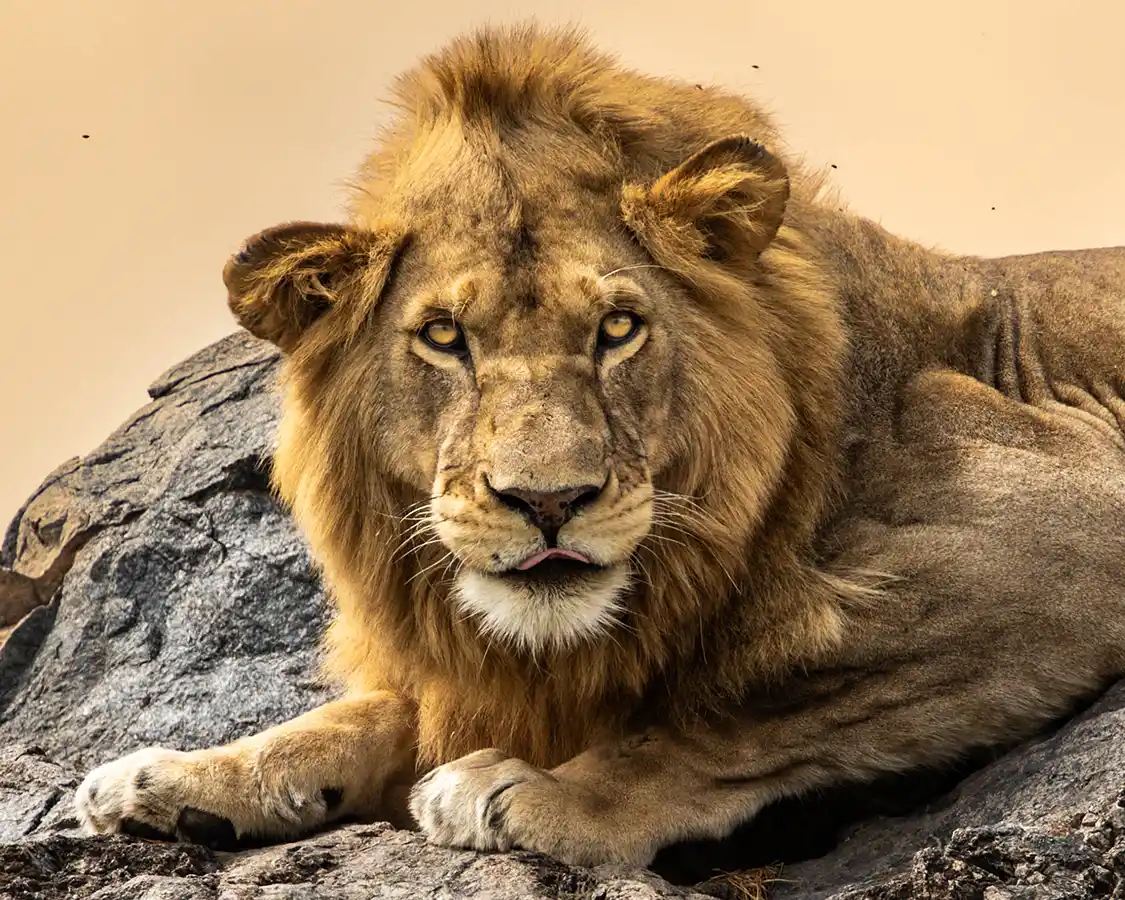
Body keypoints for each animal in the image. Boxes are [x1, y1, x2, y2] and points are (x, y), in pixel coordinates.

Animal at [74, 24, 1125, 868]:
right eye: (444, 337)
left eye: (617, 329)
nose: (548, 502)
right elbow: (360, 713)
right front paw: (182, 777)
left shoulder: (1062, 519)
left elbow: (746, 702)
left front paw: (531, 793)